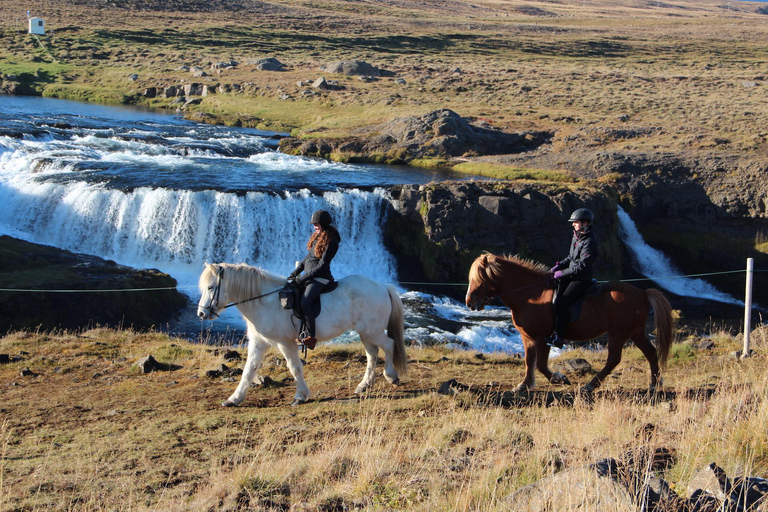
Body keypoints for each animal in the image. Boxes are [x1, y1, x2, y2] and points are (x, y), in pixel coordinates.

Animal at [197, 263, 407, 406]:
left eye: (210, 287)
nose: (201, 314)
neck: (264, 301)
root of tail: (382, 286)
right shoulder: (259, 343)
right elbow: (249, 370)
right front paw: (234, 399)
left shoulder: (285, 343)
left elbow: (294, 367)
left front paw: (300, 396)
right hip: (365, 332)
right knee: (372, 353)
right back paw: (364, 385)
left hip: (372, 331)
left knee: (388, 345)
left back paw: (391, 376)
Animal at [465, 253, 673, 396]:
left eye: (479, 279)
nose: (469, 302)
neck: (531, 295)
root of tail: (642, 293)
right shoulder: (527, 337)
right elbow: (530, 361)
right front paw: (524, 385)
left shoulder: (543, 337)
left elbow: (540, 364)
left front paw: (559, 378)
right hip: (635, 332)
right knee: (651, 353)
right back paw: (654, 385)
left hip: (618, 334)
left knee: (613, 359)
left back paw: (590, 385)